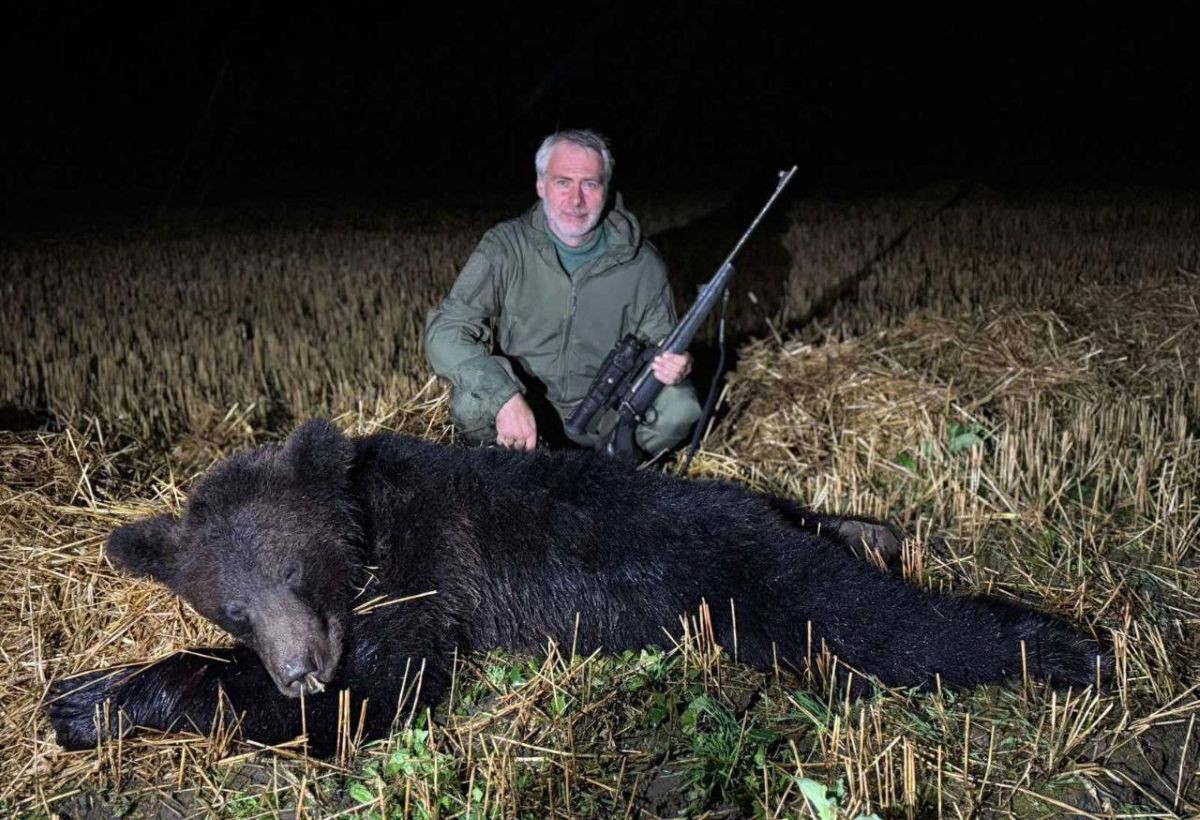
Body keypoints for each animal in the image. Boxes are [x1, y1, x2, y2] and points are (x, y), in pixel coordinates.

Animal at [47, 419, 1107, 755]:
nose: (301, 667)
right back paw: (872, 530)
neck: (368, 522)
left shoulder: (428, 578)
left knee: (874, 626)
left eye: (298, 573)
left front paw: (91, 699)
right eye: (229, 603)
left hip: (736, 578)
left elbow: (379, 699)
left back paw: (1067, 644)